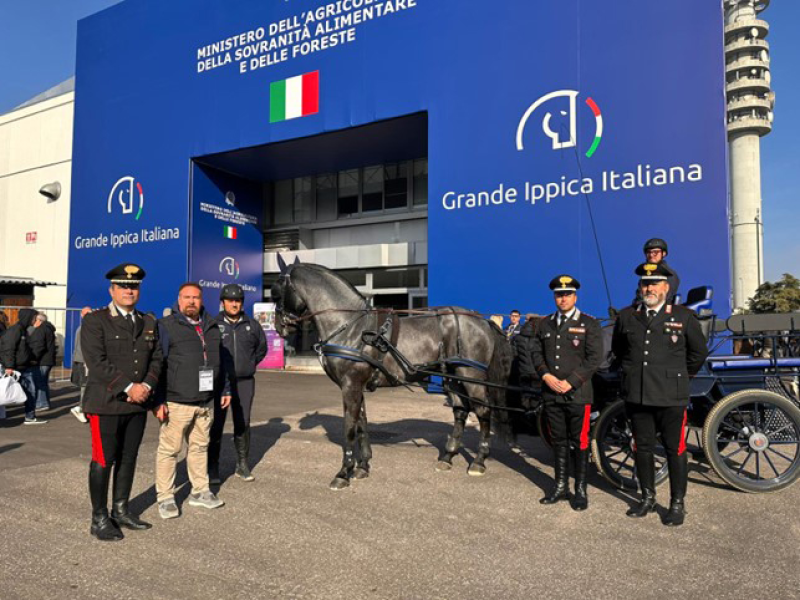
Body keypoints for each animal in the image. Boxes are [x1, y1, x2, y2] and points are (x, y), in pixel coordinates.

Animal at [272, 256, 512, 488]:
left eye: (276, 290)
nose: (279, 326)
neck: (351, 326)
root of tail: (482, 320)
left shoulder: (350, 385)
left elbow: (349, 426)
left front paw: (343, 473)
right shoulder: (357, 386)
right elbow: (361, 423)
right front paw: (363, 466)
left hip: (471, 377)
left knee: (483, 411)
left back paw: (479, 461)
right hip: (453, 377)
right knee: (461, 411)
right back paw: (448, 456)